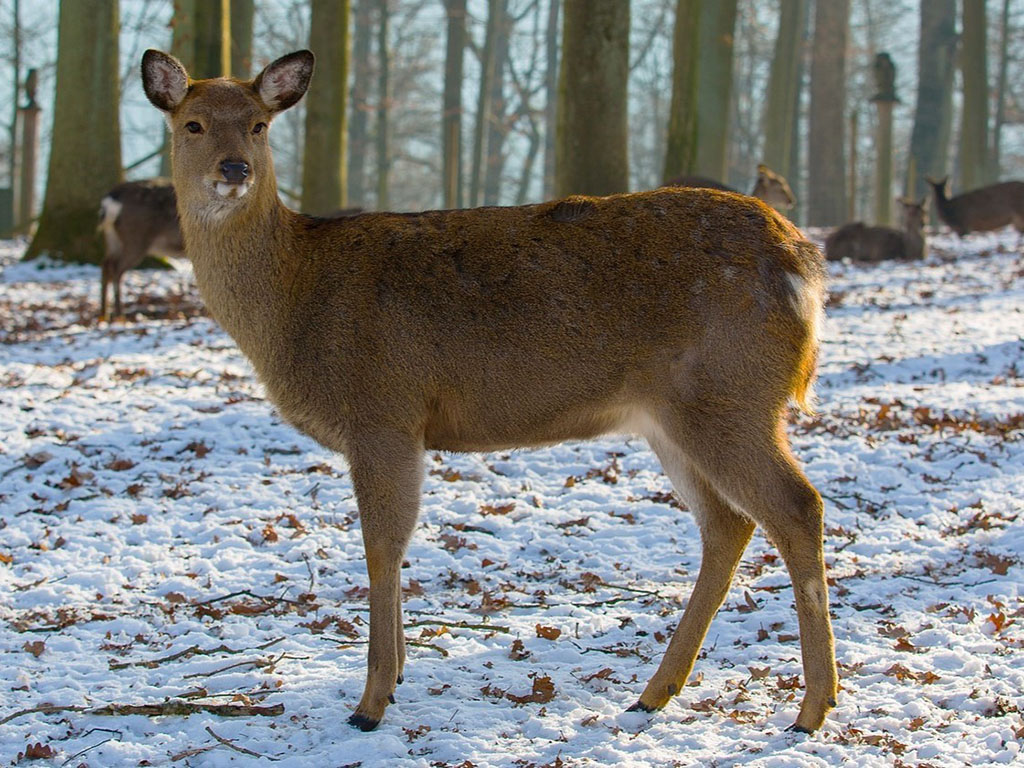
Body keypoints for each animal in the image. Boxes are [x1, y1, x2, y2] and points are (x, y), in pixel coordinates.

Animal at [96, 178, 185, 321]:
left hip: (112, 238)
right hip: (136, 238)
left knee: (106, 264)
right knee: (116, 268)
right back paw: (120, 316)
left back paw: (103, 315)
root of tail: (109, 202)